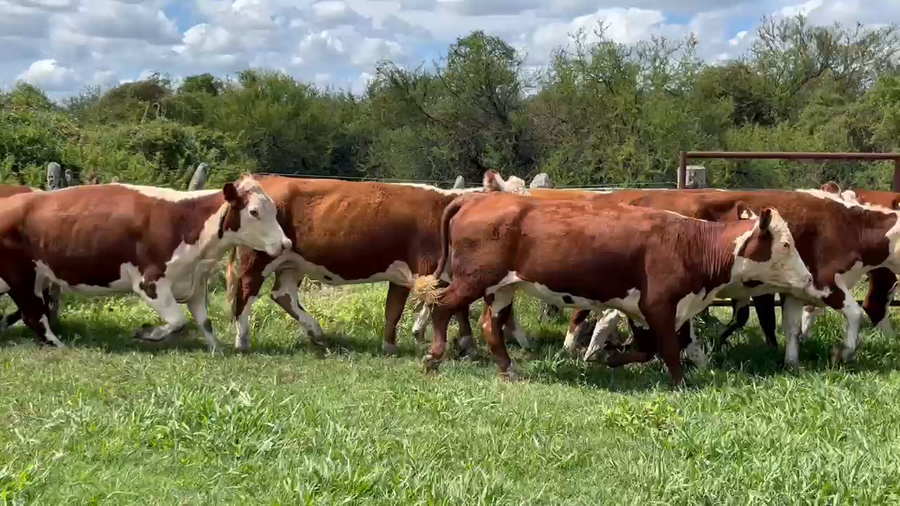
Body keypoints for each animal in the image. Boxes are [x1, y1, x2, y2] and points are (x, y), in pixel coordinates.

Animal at [0, 175, 290, 350]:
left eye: (274, 210)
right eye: (254, 212)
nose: (286, 243)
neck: (187, 222)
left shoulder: (195, 283)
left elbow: (205, 323)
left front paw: (216, 350)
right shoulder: (150, 283)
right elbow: (178, 320)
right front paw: (147, 333)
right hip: (22, 276)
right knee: (33, 314)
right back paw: (59, 346)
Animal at [224, 175, 535, 356]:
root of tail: (264, 178)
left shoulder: (405, 274)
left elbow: (394, 309)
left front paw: (390, 344)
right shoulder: (429, 269)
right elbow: (454, 306)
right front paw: (466, 343)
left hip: (292, 263)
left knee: (283, 295)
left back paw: (316, 332)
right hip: (258, 259)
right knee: (245, 293)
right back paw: (242, 340)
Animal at [410, 191, 814, 387]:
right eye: (785, 245)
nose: (809, 279)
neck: (690, 244)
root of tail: (475, 197)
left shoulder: (644, 310)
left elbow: (649, 348)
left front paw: (609, 357)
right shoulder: (660, 305)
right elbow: (668, 349)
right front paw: (680, 383)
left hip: (501, 287)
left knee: (490, 325)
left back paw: (509, 369)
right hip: (472, 279)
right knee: (443, 306)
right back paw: (433, 357)